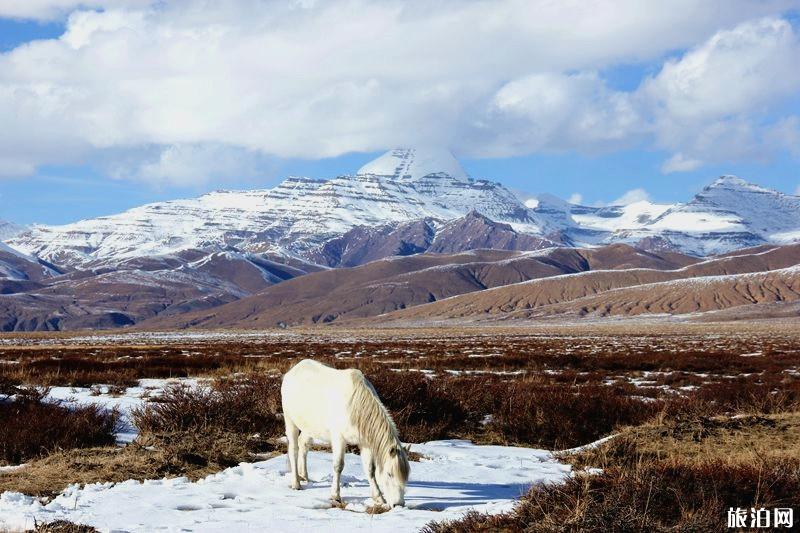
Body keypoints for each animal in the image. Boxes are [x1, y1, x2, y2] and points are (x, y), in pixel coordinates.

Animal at [280, 360, 410, 504]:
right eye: (389, 474)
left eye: (406, 477)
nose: (399, 504)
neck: (355, 407)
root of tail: (293, 370)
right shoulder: (339, 439)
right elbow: (338, 466)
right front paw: (335, 495)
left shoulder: (365, 443)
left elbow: (370, 469)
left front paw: (378, 497)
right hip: (290, 421)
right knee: (294, 450)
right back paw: (296, 483)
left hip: (309, 427)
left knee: (303, 445)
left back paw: (304, 477)